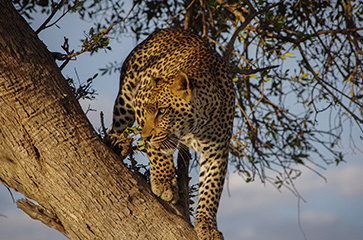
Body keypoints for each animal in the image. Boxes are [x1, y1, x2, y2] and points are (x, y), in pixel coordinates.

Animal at [109, 28, 236, 240]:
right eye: (149, 109)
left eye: (162, 111)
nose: (145, 136)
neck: (195, 126)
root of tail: (163, 30)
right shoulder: (140, 102)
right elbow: (157, 152)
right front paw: (164, 183)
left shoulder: (217, 152)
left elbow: (211, 189)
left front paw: (207, 226)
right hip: (125, 101)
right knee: (114, 127)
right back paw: (115, 144)